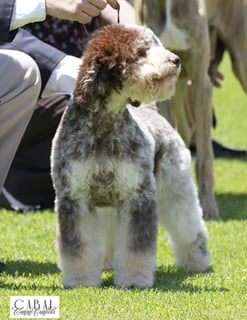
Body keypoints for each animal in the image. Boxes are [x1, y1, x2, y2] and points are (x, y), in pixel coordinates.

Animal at [50, 23, 210, 288]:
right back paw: (106, 261)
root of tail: (153, 111)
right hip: (108, 206)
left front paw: (134, 279)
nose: (175, 60)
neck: (103, 126)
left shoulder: (138, 195)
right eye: (141, 51)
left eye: (156, 43)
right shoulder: (75, 197)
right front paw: (81, 279)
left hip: (175, 187)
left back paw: (197, 262)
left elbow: (136, 248)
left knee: (190, 228)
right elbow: (78, 247)